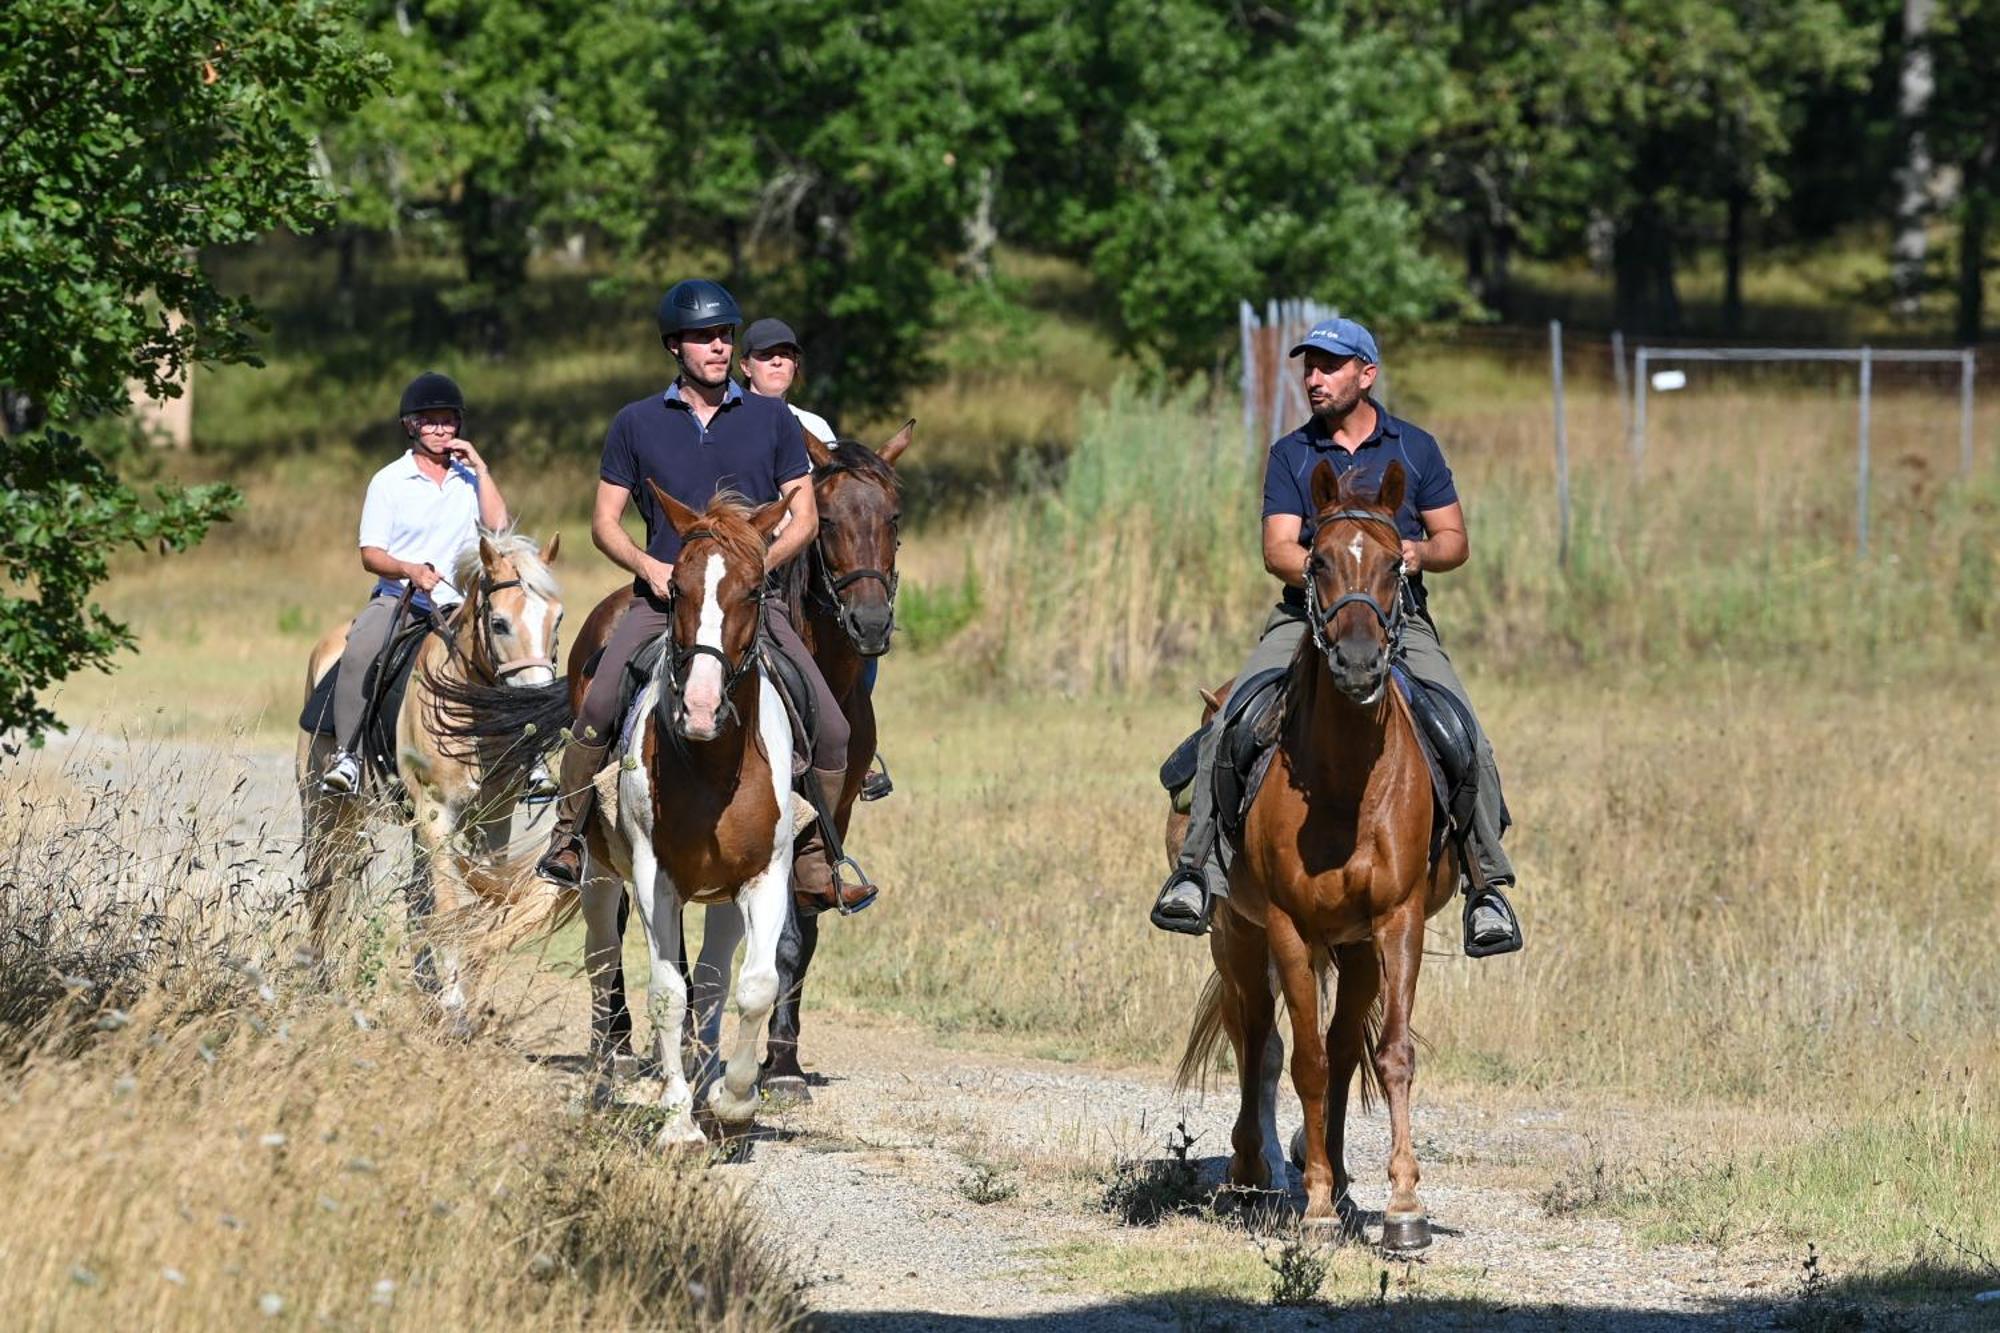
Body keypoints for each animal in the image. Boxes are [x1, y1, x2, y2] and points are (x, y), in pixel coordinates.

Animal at [1168, 456, 1456, 1248]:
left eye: (1395, 564)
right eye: (1319, 561)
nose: (1358, 664)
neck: (1346, 781)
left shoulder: (1395, 921)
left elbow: (1387, 1054)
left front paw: (1404, 1207)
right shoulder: (1289, 928)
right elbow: (1306, 1060)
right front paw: (1320, 1206)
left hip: (1353, 947)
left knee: (1337, 1042)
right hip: (1236, 932)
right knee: (1257, 1038)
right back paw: (1253, 1166)